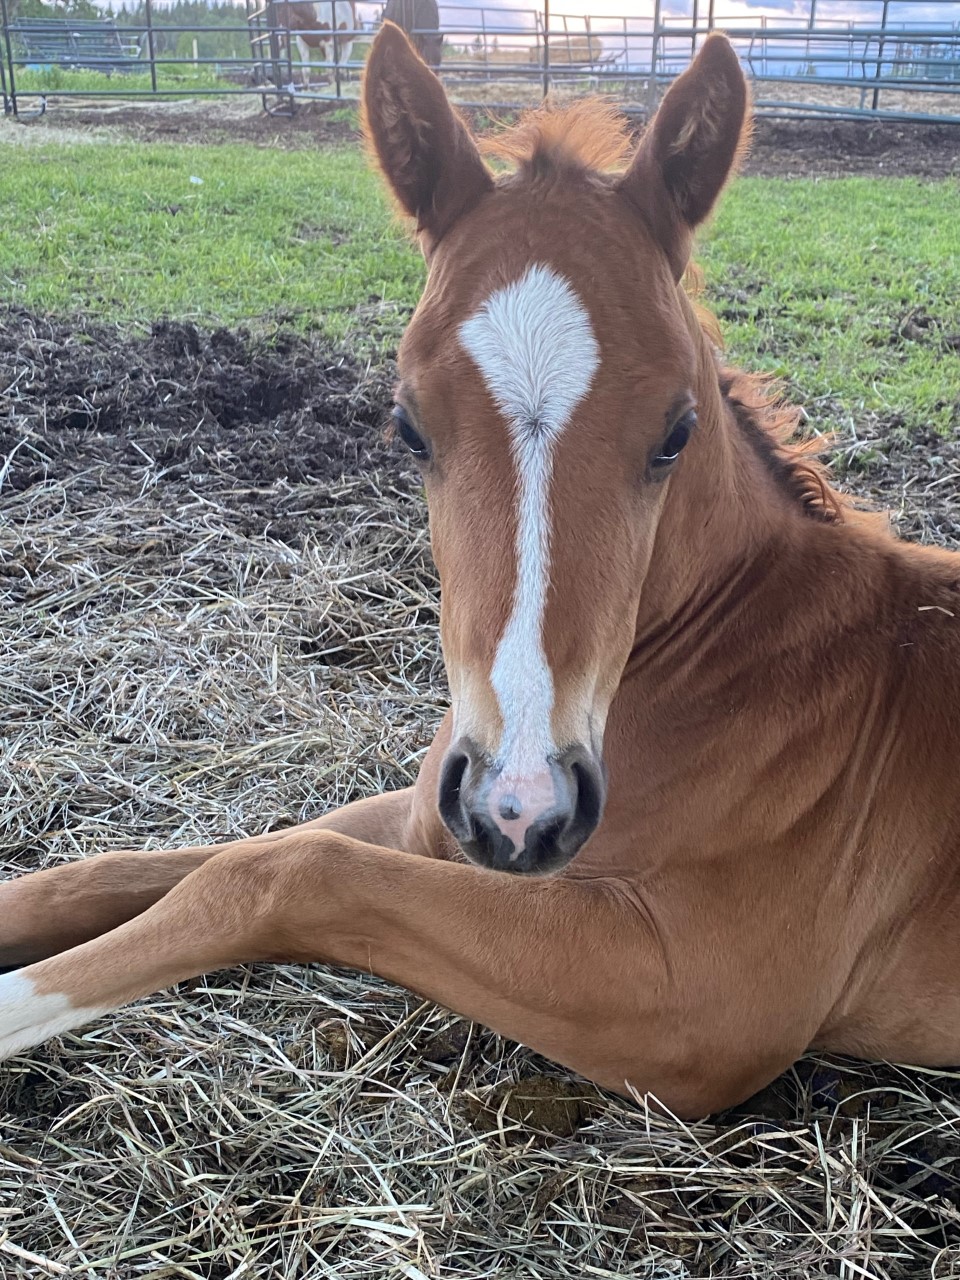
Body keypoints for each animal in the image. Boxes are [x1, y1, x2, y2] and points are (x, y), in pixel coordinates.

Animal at [1, 24, 960, 1116]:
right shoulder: (432, 820)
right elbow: (159, 862)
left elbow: (281, 872)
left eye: (677, 431)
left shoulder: (696, 1003)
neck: (740, 660)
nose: (520, 805)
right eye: (407, 423)